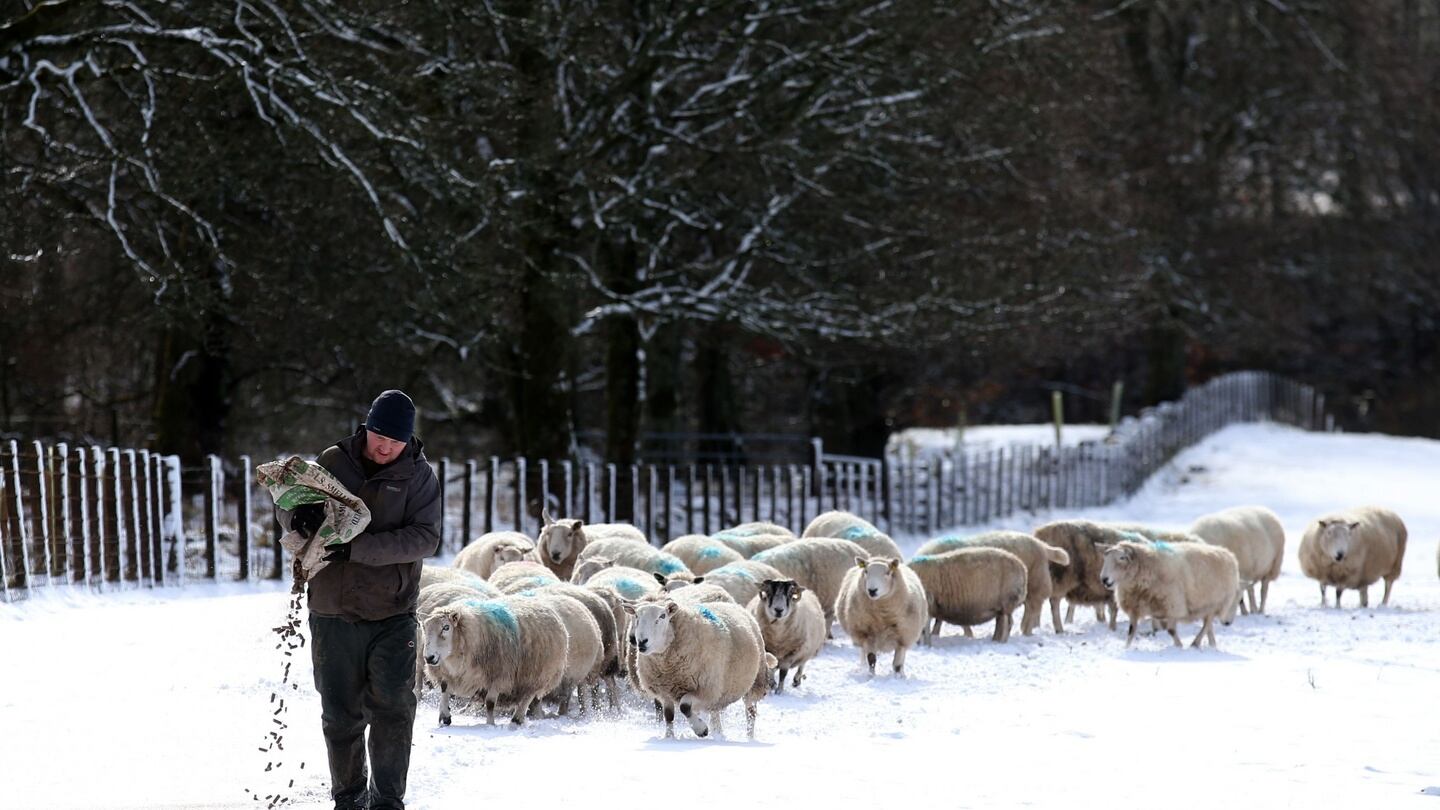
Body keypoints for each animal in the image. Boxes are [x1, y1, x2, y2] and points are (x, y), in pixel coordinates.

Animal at [421, 596, 570, 727]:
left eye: (446, 627)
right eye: (425, 628)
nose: (429, 658)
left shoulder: (499, 675)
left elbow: (490, 703)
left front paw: (490, 724)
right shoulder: (446, 672)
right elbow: (444, 691)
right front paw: (444, 716)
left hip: (538, 674)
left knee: (528, 697)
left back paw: (516, 721)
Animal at [625, 599, 776, 739]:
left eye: (662, 616)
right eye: (636, 616)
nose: (641, 642)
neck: (667, 668)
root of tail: (734, 604)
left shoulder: (704, 689)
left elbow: (684, 707)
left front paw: (701, 729)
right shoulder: (665, 693)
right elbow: (668, 716)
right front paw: (669, 738)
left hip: (754, 681)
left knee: (750, 713)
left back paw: (749, 737)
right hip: (718, 691)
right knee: (715, 712)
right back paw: (718, 734)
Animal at [915, 531, 1071, 635]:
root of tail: (1041, 545)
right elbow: (941, 619)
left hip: (1036, 584)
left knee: (1033, 609)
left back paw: (1026, 631)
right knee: (1030, 609)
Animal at [1100, 540, 1240, 648]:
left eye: (1122, 558)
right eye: (1105, 558)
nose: (1104, 579)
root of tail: (1228, 554)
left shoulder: (1173, 605)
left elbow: (1171, 630)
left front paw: (1179, 646)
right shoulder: (1135, 607)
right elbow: (1131, 631)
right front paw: (1126, 648)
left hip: (1217, 602)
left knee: (1208, 623)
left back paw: (1196, 643)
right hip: (1205, 605)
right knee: (1209, 625)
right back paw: (1212, 645)